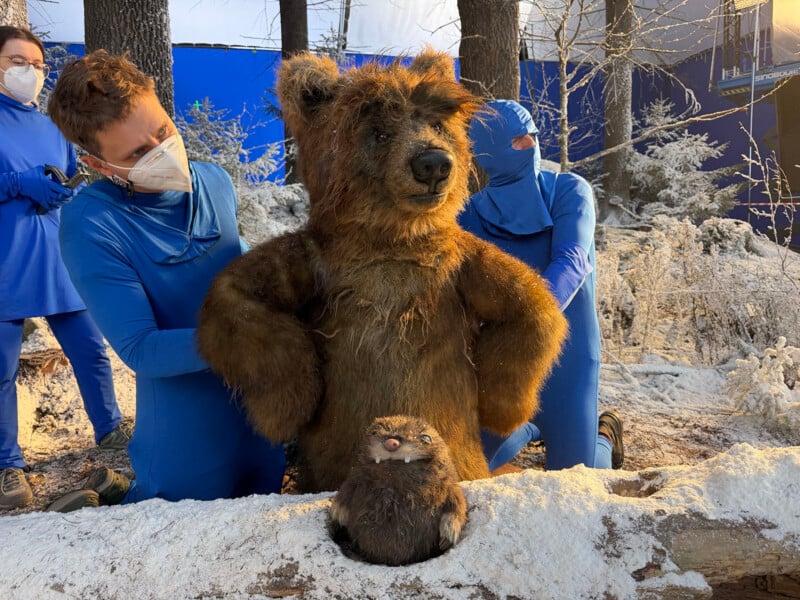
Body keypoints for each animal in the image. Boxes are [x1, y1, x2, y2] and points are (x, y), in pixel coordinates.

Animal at [196, 50, 568, 493]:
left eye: (437, 124)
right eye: (379, 133)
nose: (433, 163)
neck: (393, 239)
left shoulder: (457, 263)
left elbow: (529, 303)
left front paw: (503, 409)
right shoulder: (318, 260)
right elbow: (237, 299)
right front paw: (287, 408)